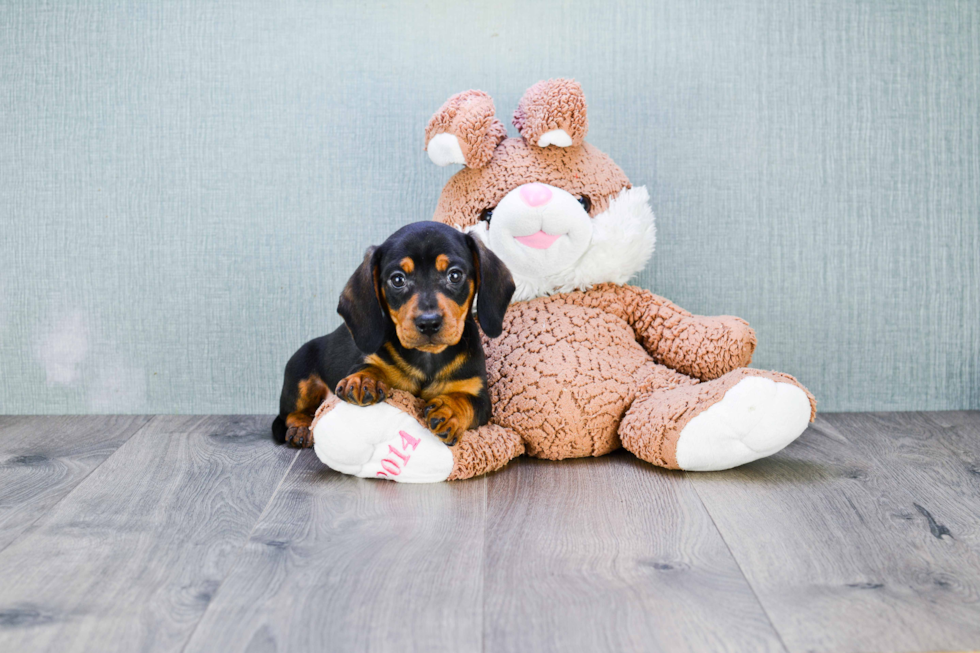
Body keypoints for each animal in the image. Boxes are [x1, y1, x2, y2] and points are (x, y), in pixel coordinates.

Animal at [268, 223, 512, 448]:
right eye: (398, 279)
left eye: (455, 275)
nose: (429, 323)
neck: (427, 359)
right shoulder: (367, 360)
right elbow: (369, 367)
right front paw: (364, 379)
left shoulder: (480, 397)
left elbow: (466, 400)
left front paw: (450, 410)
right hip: (299, 376)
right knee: (290, 414)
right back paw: (301, 428)